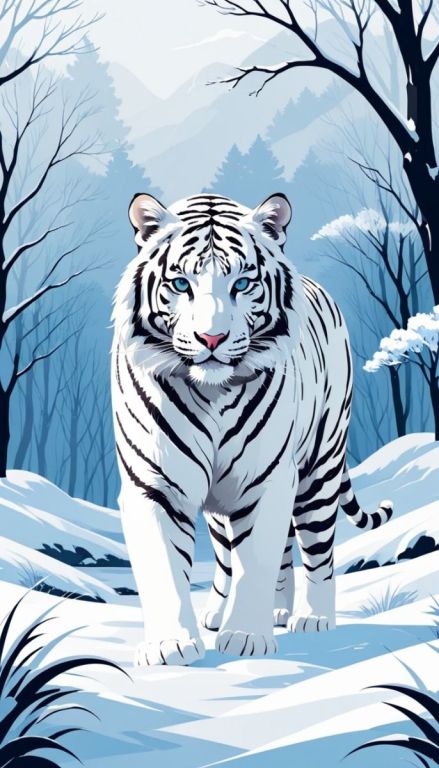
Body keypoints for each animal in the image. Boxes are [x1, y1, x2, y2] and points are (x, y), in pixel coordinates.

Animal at [111, 191, 393, 666]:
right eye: (181, 285)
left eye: (242, 284)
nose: (211, 339)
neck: (211, 392)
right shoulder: (154, 483)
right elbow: (165, 569)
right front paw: (171, 646)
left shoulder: (267, 479)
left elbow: (257, 559)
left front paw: (245, 637)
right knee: (234, 555)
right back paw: (236, 612)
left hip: (319, 466)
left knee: (317, 548)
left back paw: (311, 618)